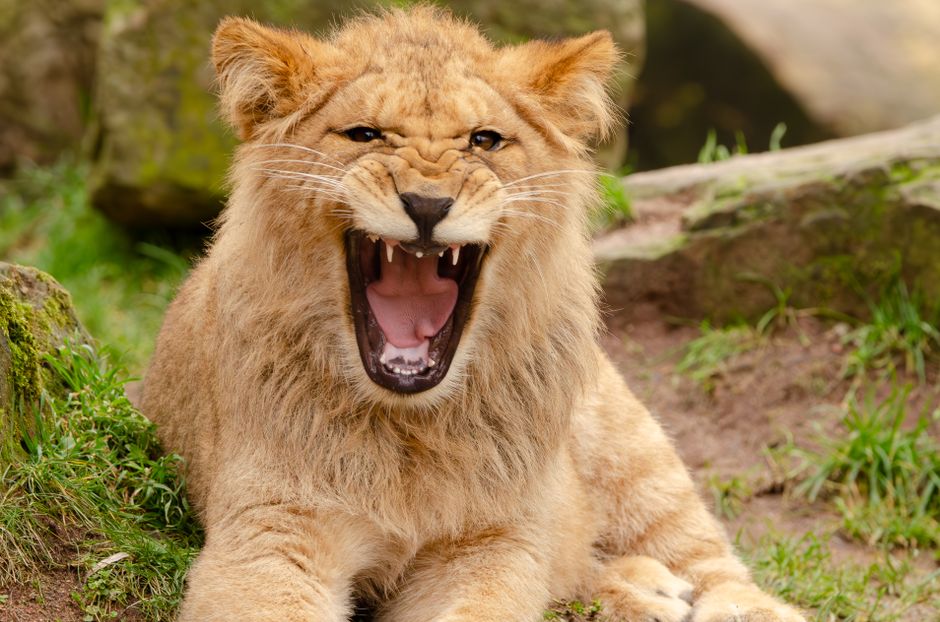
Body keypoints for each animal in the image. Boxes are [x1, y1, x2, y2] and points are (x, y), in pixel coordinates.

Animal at [141, 7, 806, 622]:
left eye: (483, 140)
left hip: (634, 450)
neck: (408, 429)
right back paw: (644, 590)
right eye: (364, 135)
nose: (426, 204)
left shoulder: (491, 542)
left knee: (703, 553)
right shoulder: (273, 527)